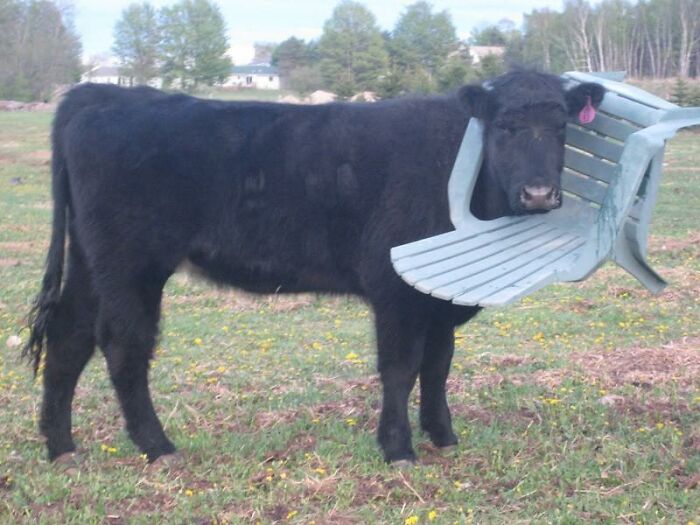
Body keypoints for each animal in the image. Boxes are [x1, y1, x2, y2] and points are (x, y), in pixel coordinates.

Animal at [23, 70, 604, 467]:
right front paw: (398, 449)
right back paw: (158, 446)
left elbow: (438, 365)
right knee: (124, 344)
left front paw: (443, 436)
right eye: (504, 127)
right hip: (132, 263)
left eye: (561, 128)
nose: (538, 194)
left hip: (89, 260)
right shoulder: (394, 288)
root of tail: (99, 93)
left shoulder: (441, 294)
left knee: (69, 336)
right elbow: (401, 368)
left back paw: (61, 447)